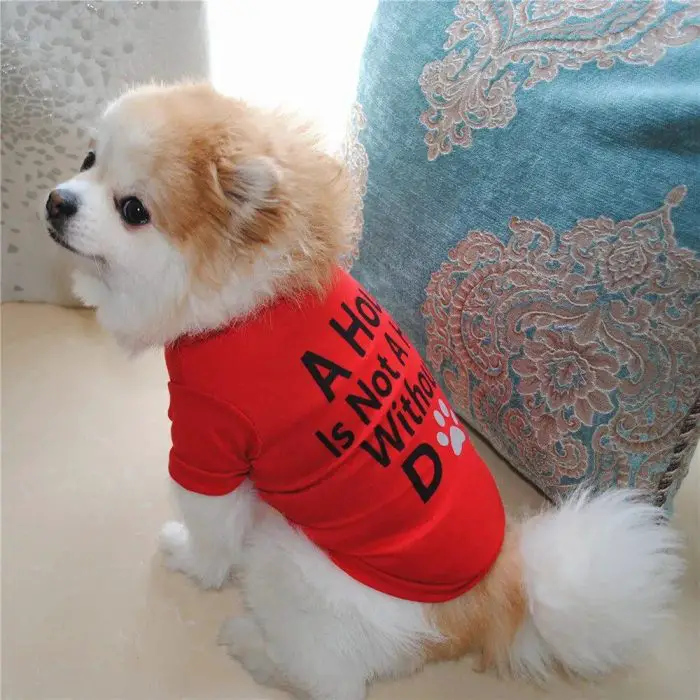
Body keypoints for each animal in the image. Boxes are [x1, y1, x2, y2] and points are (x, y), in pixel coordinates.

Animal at [47, 83, 684, 700]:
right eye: (88, 160)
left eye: (134, 210)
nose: (57, 200)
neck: (248, 303)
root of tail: (496, 600)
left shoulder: (209, 441)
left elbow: (210, 531)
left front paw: (188, 558)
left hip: (292, 562)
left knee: (329, 679)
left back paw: (255, 647)